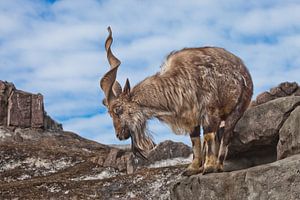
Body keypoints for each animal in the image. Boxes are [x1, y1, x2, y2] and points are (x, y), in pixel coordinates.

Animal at [101, 27, 253, 174]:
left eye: (118, 110)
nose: (119, 135)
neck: (177, 81)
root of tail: (245, 70)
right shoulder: (191, 118)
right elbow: (195, 140)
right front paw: (193, 169)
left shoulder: (210, 112)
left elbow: (208, 136)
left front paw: (209, 167)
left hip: (237, 110)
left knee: (226, 135)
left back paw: (218, 166)